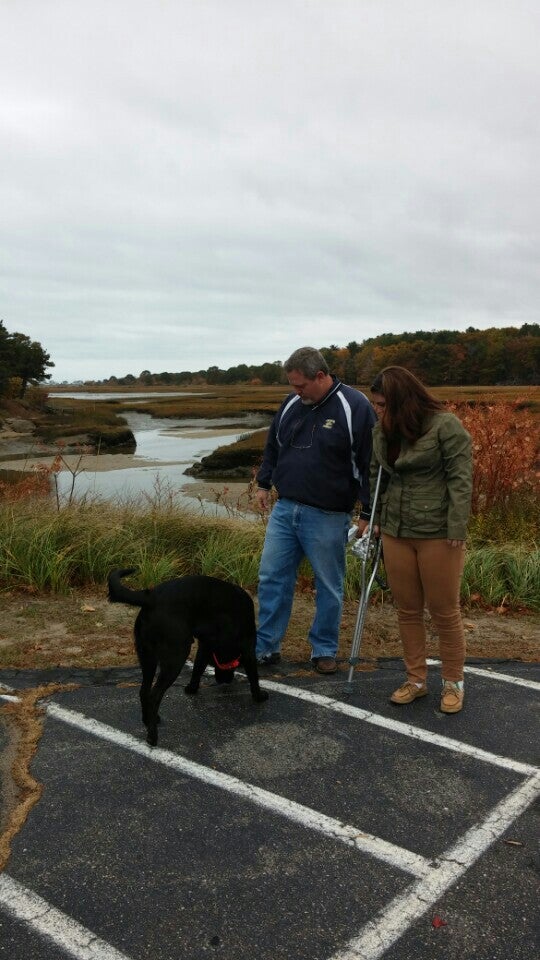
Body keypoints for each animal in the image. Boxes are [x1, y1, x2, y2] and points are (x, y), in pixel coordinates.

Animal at [107, 568, 268, 748]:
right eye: (230, 664)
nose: (224, 681)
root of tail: (151, 597)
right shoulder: (248, 648)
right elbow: (254, 677)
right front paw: (259, 697)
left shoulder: (204, 647)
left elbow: (197, 668)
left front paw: (191, 688)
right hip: (175, 658)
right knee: (154, 696)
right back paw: (152, 737)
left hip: (148, 658)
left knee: (144, 691)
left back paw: (148, 720)